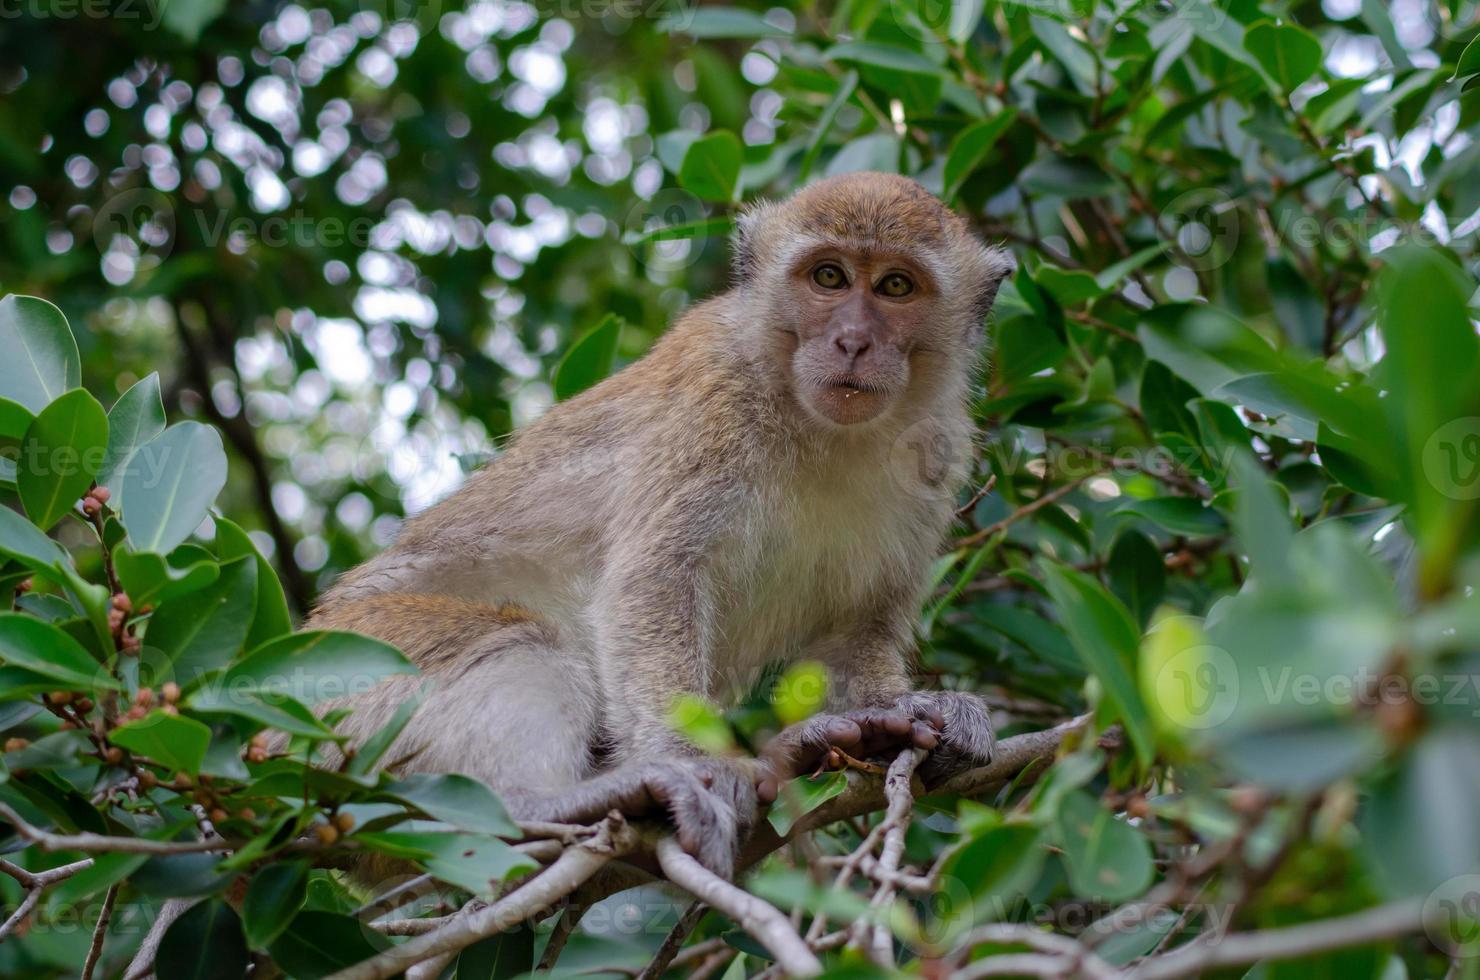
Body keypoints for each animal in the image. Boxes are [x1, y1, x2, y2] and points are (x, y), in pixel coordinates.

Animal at [301, 172, 1018, 876]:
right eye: (829, 277)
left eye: (896, 286)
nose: (852, 341)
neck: (821, 428)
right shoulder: (713, 403)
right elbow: (653, 580)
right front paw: (686, 759)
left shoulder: (939, 450)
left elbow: (856, 628)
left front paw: (897, 711)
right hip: (350, 684)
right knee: (526, 643)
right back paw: (545, 802)